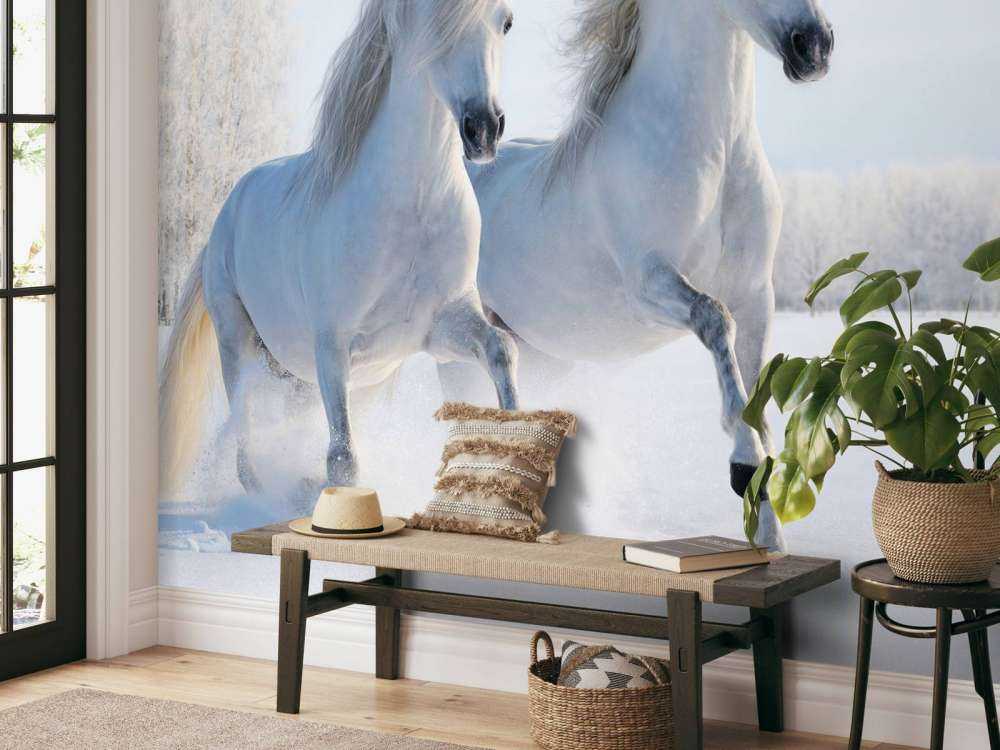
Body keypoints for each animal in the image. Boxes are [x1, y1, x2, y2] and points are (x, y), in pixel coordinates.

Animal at [160, 0, 519, 499]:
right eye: (435, 23)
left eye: (506, 22)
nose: (483, 129)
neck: (412, 207)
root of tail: (227, 210)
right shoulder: (332, 345)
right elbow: (344, 462)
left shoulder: (440, 329)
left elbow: (501, 349)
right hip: (237, 342)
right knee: (245, 435)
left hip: (311, 376)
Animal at [457, 0, 833, 549]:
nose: (814, 46)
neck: (716, 155)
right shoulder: (651, 284)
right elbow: (714, 321)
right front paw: (743, 466)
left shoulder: (756, 295)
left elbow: (756, 397)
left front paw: (769, 535)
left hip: (545, 353)